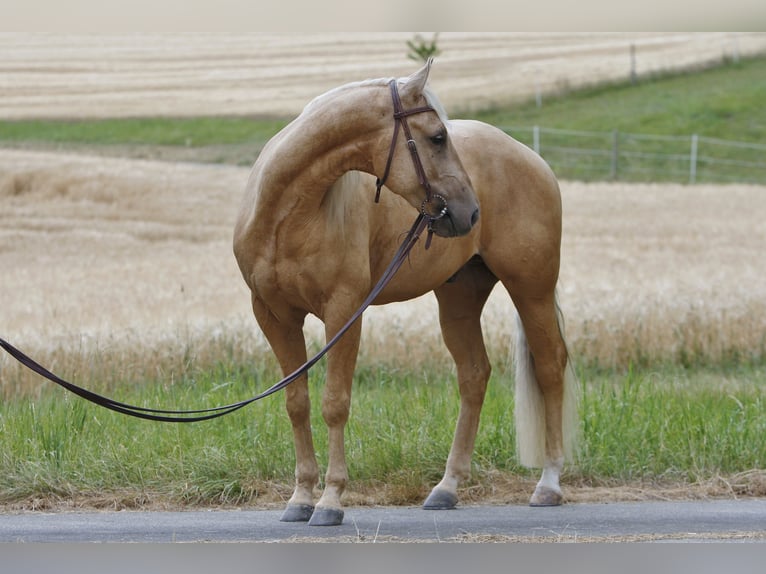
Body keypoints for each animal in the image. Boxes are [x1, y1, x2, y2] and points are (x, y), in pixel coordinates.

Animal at [233, 60, 578, 526]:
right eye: (437, 137)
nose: (470, 212)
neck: (287, 215)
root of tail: (531, 157)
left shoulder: (344, 312)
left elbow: (335, 403)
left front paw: (330, 500)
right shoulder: (273, 316)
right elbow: (297, 403)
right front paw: (300, 497)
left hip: (532, 289)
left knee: (550, 368)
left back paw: (548, 483)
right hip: (459, 299)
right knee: (474, 376)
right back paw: (446, 488)